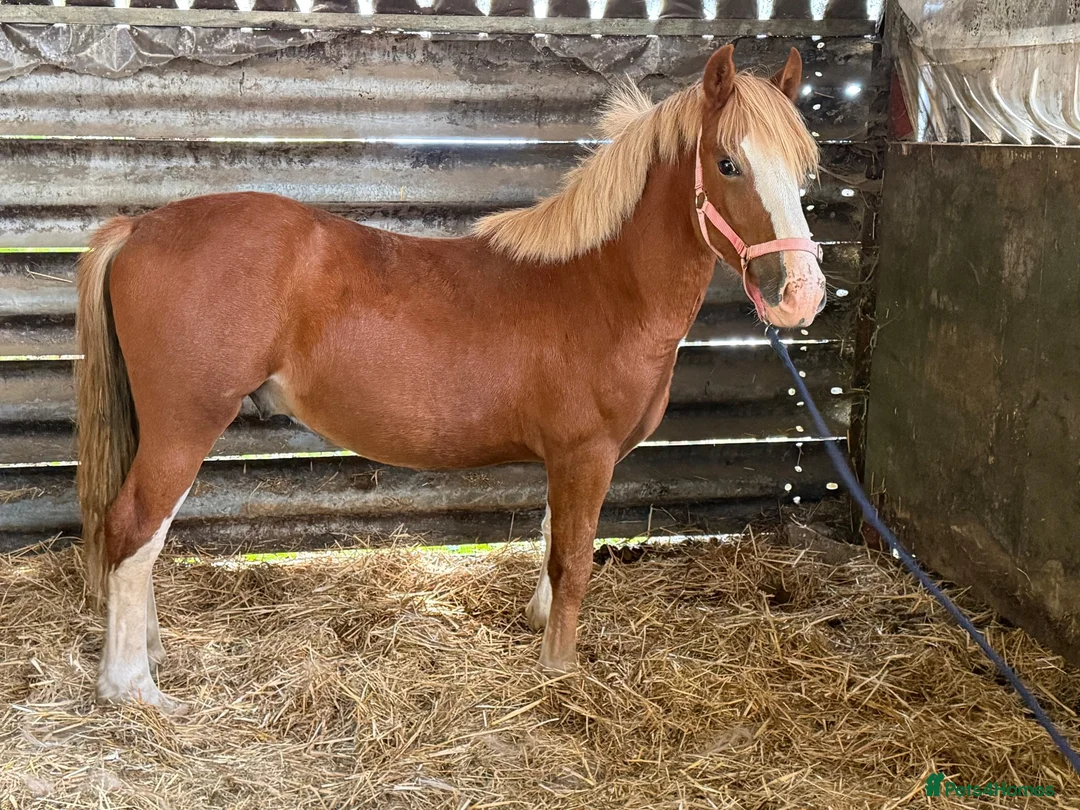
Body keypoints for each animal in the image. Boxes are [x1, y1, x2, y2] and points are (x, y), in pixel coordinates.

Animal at [75, 44, 825, 712]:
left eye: (804, 171)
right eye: (727, 164)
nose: (802, 295)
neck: (601, 285)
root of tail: (139, 227)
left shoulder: (568, 459)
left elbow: (551, 537)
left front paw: (537, 625)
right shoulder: (587, 455)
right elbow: (574, 559)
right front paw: (558, 668)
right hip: (186, 424)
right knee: (135, 528)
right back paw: (134, 688)